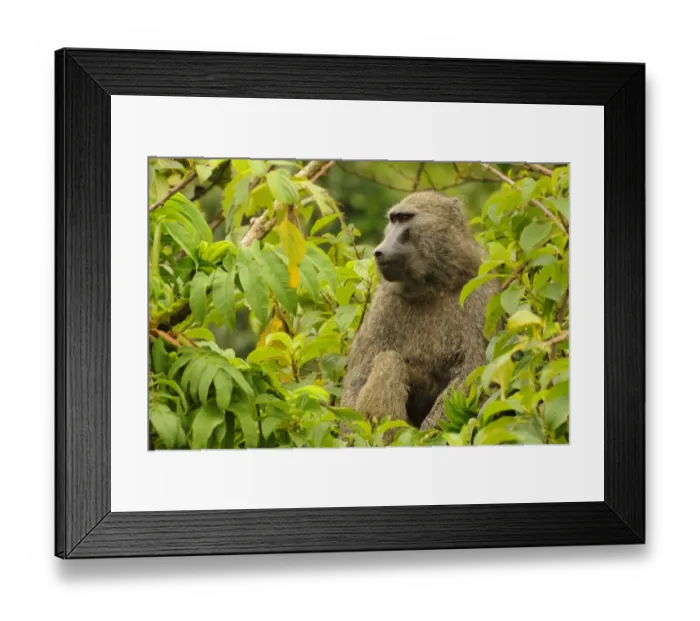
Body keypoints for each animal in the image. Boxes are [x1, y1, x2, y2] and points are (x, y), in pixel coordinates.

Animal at [341, 190, 497, 438]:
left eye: (406, 218)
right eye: (393, 220)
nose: (379, 251)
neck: (433, 285)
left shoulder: (483, 290)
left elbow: (473, 371)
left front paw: (428, 434)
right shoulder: (384, 300)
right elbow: (357, 378)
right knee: (388, 360)